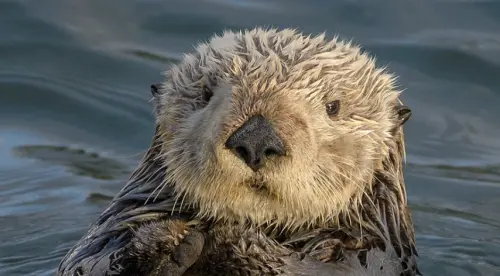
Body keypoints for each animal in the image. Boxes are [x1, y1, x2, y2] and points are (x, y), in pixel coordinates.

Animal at [56, 28, 420, 276]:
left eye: (334, 107)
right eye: (205, 94)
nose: (256, 140)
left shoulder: (371, 254)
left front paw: (231, 239)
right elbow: (87, 262)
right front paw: (168, 237)